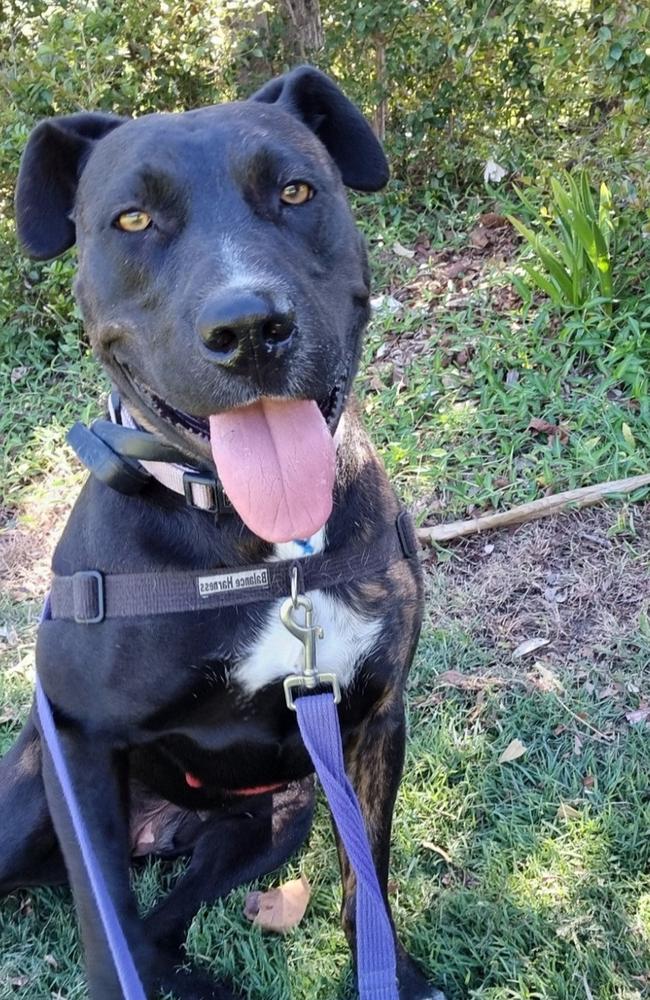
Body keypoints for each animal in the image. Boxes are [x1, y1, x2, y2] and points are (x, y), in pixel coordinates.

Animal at [0, 66, 442, 996]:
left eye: (296, 191)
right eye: (133, 220)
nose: (248, 330)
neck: (258, 544)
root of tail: (159, 834)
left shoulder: (373, 719)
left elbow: (368, 885)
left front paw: (395, 974)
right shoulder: (78, 748)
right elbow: (106, 935)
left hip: (265, 828)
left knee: (165, 924)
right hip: (23, 810)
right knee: (131, 925)